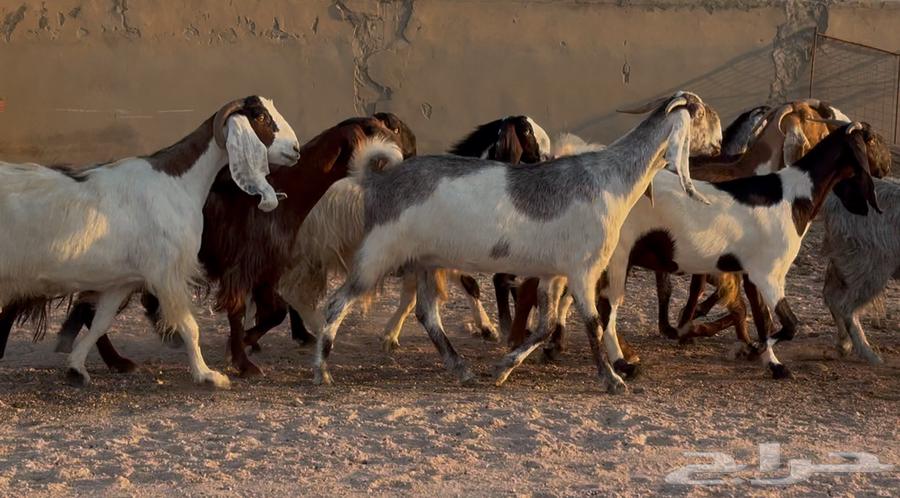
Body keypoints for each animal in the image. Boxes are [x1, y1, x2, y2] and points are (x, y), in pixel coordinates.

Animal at [0, 96, 300, 387]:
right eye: (260, 116)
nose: (295, 149)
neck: (177, 182)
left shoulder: (122, 281)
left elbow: (100, 322)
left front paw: (76, 368)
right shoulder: (167, 272)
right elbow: (190, 326)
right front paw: (208, 375)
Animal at [45, 114, 411, 377]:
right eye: (377, 131)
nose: (405, 157)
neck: (285, 192)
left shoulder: (267, 268)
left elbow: (274, 312)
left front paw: (246, 346)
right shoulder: (243, 268)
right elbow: (239, 312)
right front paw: (242, 361)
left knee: (91, 306)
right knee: (91, 307)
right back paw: (114, 359)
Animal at [275, 115, 551, 353]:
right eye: (526, 130)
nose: (547, 155)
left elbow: (432, 292)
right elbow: (463, 286)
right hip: (309, 254)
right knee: (291, 292)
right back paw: (313, 330)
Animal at [310, 91, 720, 394]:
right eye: (703, 113)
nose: (718, 143)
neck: (610, 179)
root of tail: (377, 182)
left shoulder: (555, 274)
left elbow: (546, 325)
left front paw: (503, 368)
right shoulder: (583, 269)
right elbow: (592, 323)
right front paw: (613, 379)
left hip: (427, 260)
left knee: (428, 314)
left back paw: (461, 369)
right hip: (377, 257)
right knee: (335, 304)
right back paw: (322, 372)